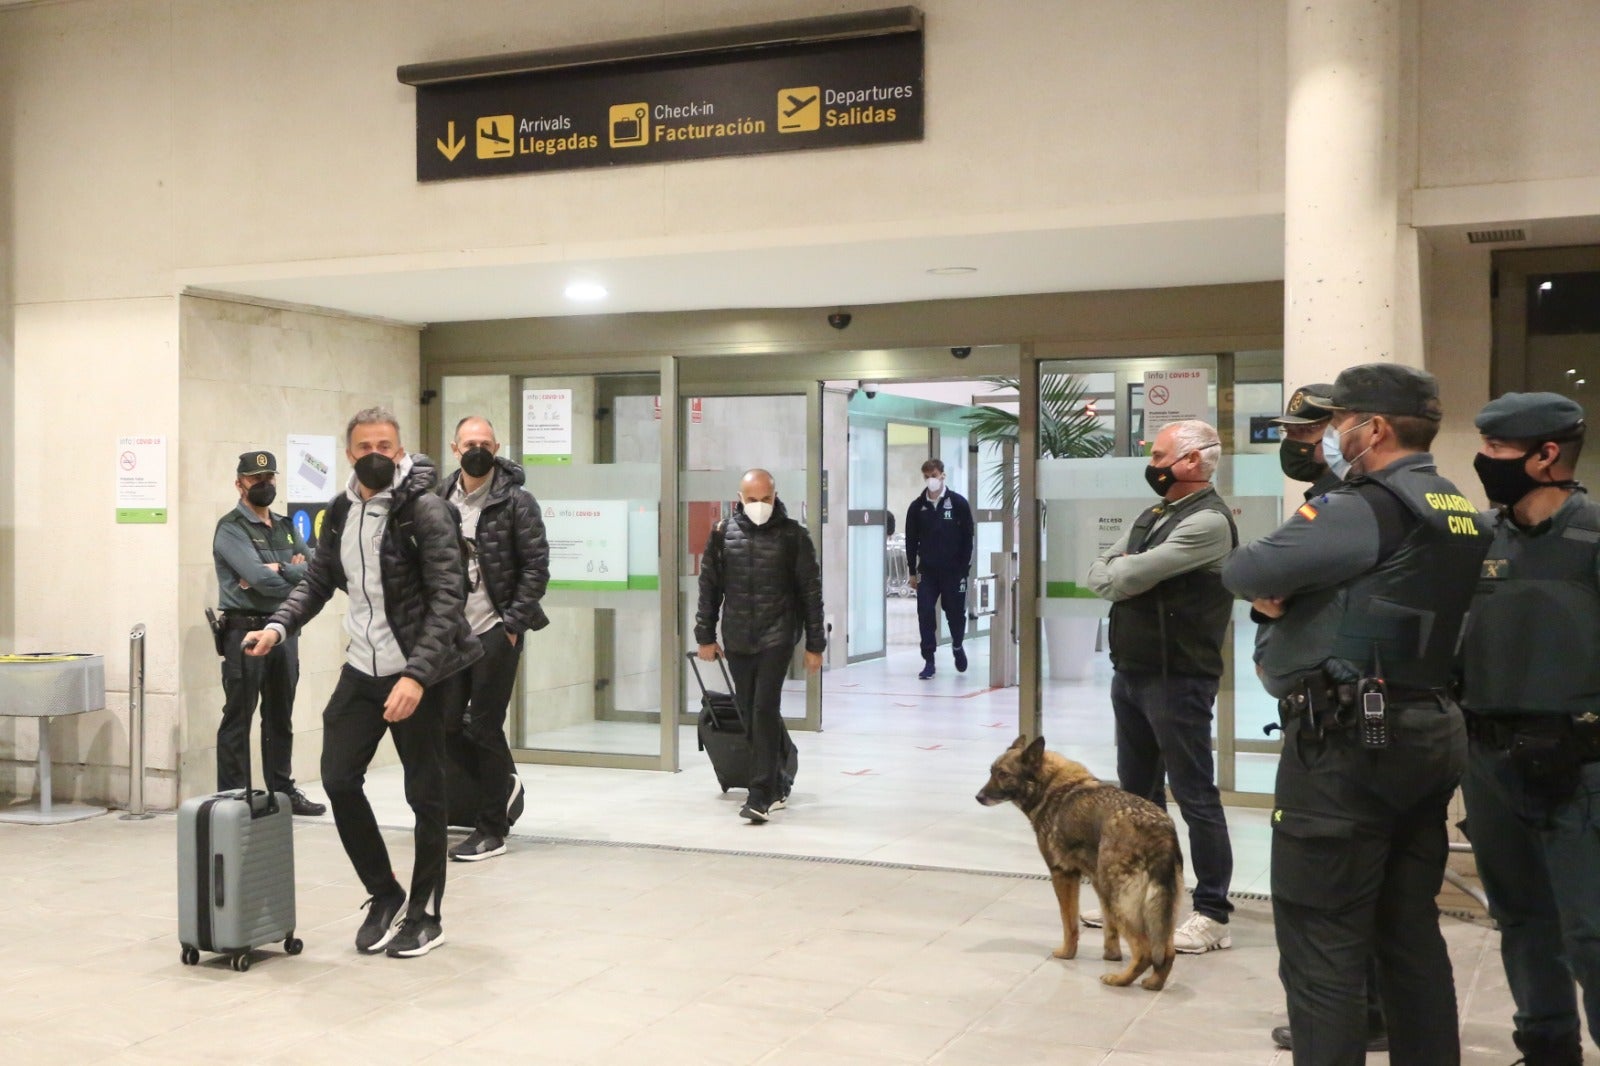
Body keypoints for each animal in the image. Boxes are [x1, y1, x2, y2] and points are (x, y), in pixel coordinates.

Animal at [972, 729, 1190, 985]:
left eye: (1004, 774)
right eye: (991, 772)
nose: (978, 796)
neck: (1050, 786)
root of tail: (1160, 830)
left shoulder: (1063, 875)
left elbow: (1069, 923)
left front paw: (1067, 953)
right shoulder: (1095, 882)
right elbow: (1110, 929)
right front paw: (1111, 955)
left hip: (1119, 897)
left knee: (1145, 950)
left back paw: (1120, 980)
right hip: (1154, 906)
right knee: (1166, 952)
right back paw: (1153, 983)